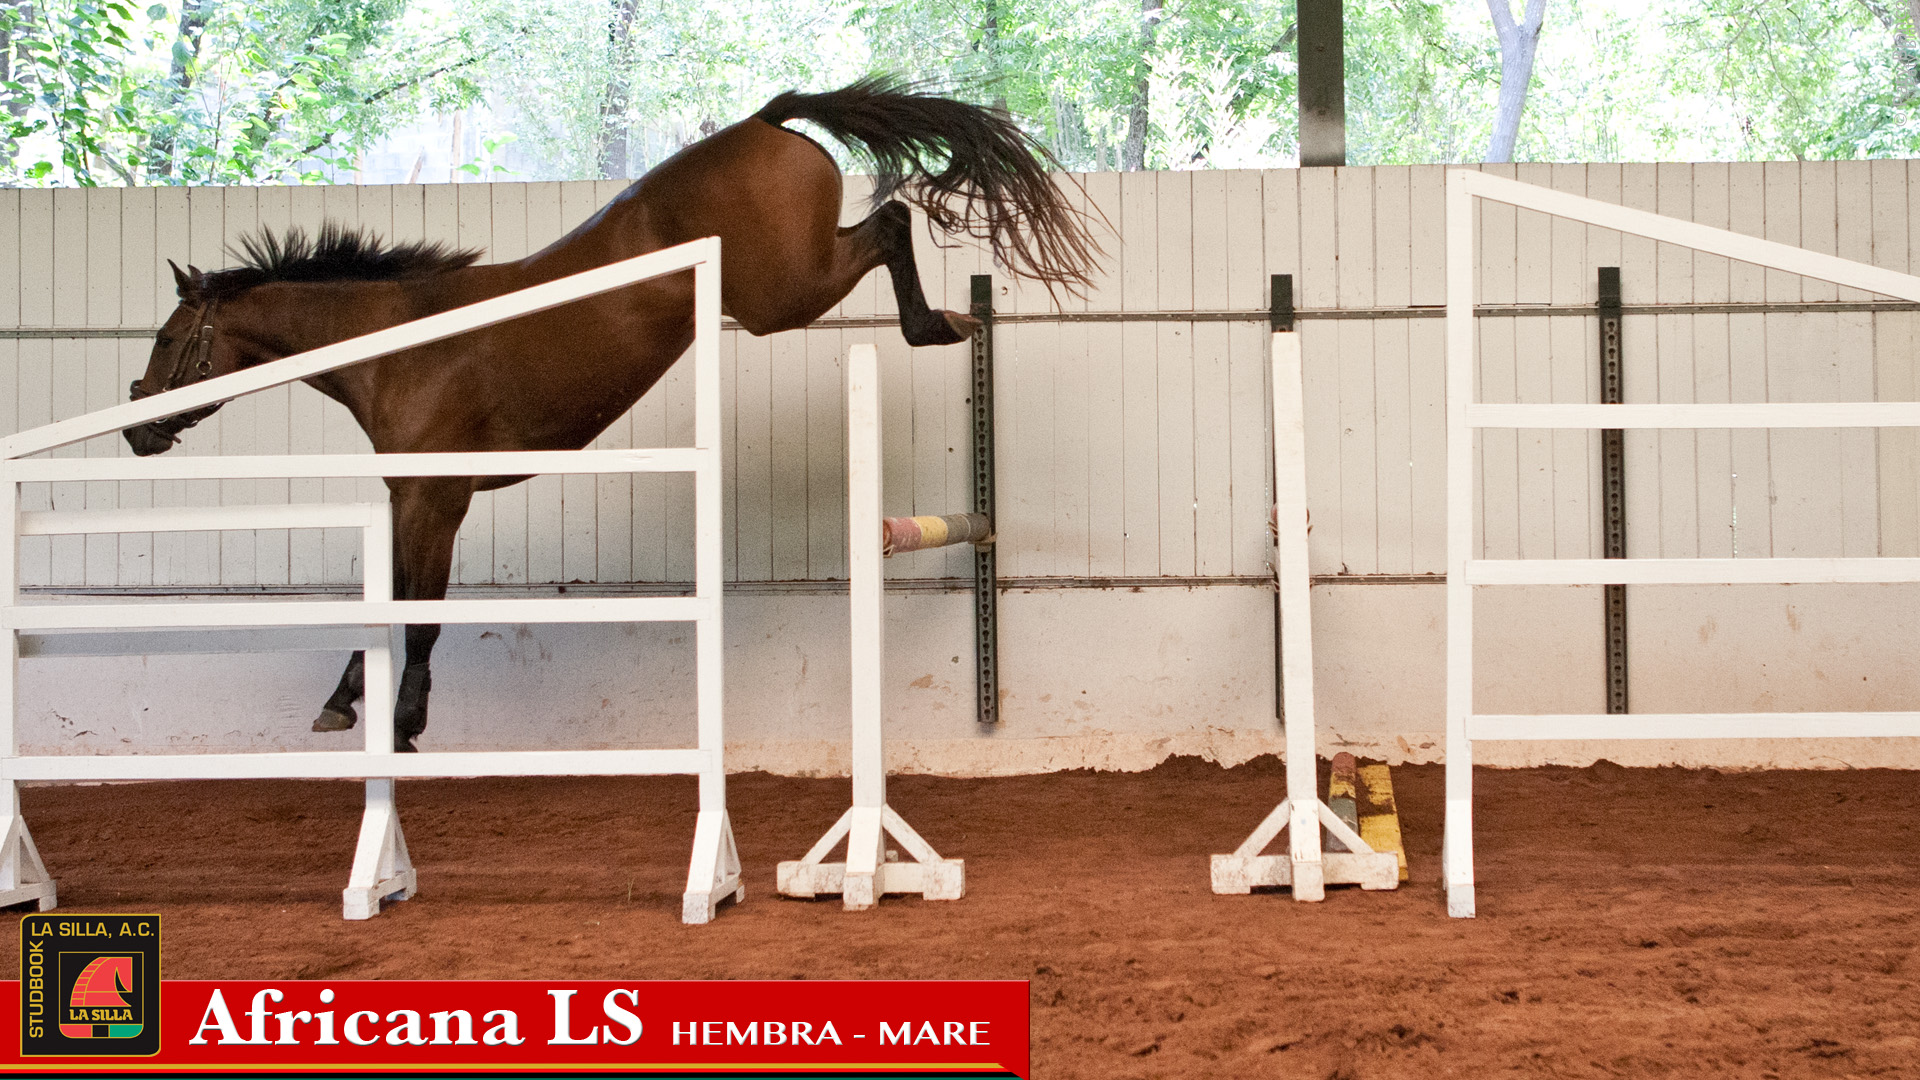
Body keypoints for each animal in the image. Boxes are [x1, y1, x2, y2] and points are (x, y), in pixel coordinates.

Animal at [122, 78, 1098, 752]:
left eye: (170, 338)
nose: (136, 425)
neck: (411, 344)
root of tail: (765, 120)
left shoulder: (436, 500)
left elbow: (420, 615)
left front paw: (404, 725)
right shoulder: (411, 499)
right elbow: (392, 607)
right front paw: (346, 704)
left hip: (783, 292)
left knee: (892, 221)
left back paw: (938, 324)